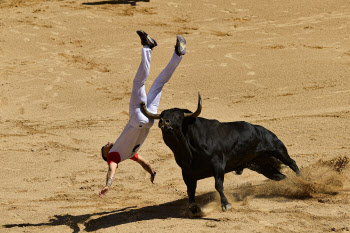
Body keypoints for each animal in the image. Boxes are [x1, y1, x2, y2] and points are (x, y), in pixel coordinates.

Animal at [141, 93, 300, 215]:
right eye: (162, 115)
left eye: (179, 117)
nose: (164, 122)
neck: (188, 148)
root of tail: (262, 129)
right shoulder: (187, 172)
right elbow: (190, 191)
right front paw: (194, 209)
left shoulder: (217, 164)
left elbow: (218, 185)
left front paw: (226, 205)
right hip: (259, 164)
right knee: (279, 176)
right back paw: (295, 186)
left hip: (277, 148)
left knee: (292, 163)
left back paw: (301, 179)